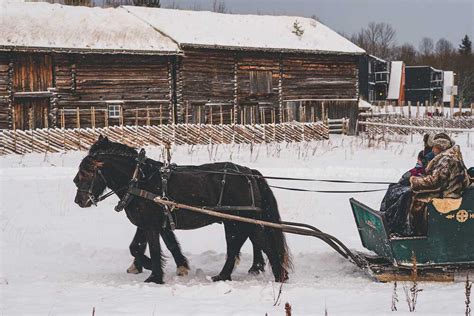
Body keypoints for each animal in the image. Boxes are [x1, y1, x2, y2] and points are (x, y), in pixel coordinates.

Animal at [74, 136, 290, 284]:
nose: (79, 201)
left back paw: (278, 276)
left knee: (261, 245)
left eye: (86, 173)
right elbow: (149, 245)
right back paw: (225, 275)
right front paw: (179, 267)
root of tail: (249, 173)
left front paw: (154, 276)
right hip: (235, 222)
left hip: (241, 220)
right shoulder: (153, 223)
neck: (139, 180)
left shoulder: (150, 225)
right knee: (239, 246)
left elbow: (153, 248)